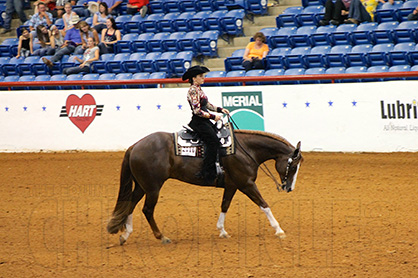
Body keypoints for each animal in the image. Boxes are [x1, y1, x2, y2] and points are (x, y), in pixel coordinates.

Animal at [108, 129, 302, 244]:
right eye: (293, 166)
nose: (289, 188)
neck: (245, 149)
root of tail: (134, 146)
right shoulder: (246, 184)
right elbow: (264, 204)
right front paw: (279, 230)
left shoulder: (232, 185)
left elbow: (225, 205)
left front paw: (222, 231)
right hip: (153, 188)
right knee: (147, 210)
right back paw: (161, 237)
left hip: (143, 186)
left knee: (130, 204)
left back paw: (125, 234)